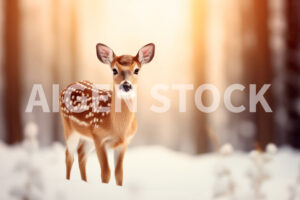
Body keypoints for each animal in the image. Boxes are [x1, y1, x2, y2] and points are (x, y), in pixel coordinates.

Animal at [59, 43, 156, 185]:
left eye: (137, 70)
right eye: (114, 70)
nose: (126, 85)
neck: (117, 128)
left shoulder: (124, 143)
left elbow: (119, 173)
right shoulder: (99, 137)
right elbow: (106, 173)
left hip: (88, 137)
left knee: (81, 154)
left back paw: (85, 182)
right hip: (69, 127)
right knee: (69, 155)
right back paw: (68, 181)